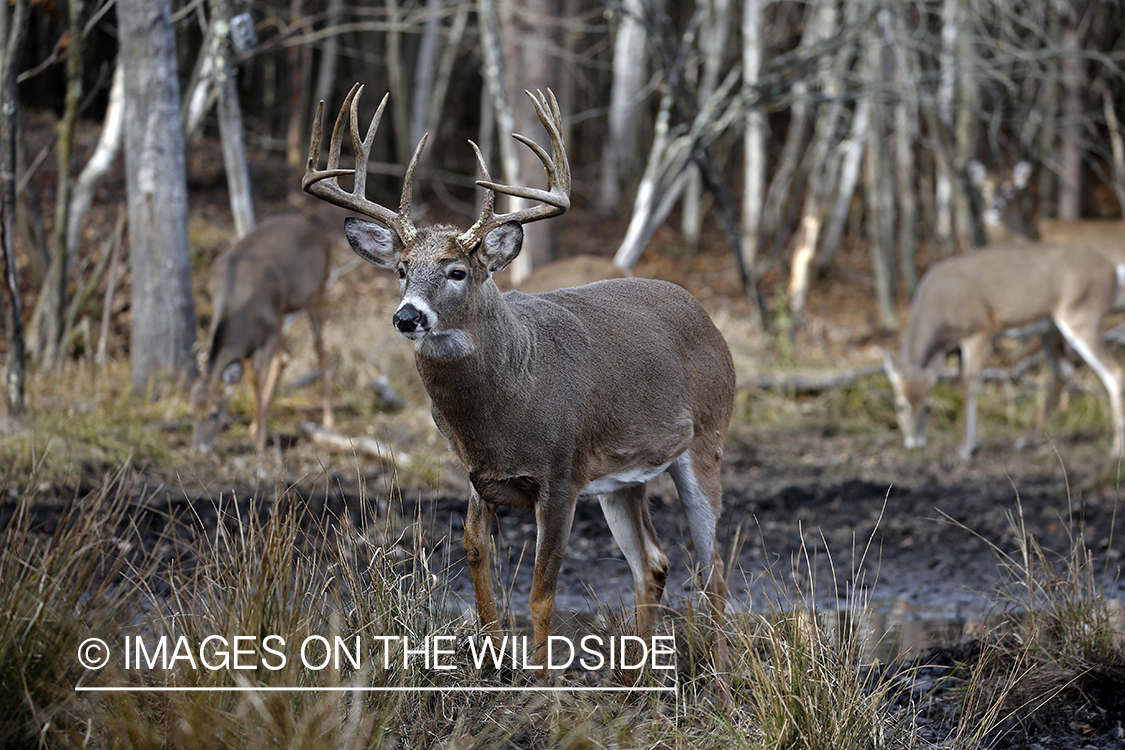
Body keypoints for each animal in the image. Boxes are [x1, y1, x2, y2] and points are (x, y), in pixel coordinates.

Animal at [190, 213, 333, 454]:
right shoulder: (248, 343)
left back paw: (329, 420)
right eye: (192, 412)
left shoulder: (270, 328)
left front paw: (259, 440)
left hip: (317, 293)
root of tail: (315, 227)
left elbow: (261, 377)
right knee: (286, 355)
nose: (199, 449)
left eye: (214, 413)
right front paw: (255, 428)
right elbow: (253, 379)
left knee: (320, 350)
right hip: (285, 314)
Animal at [301, 83, 738, 679]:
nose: (408, 316)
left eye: (457, 271)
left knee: (713, 568)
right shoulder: (478, 476)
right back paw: (634, 679)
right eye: (401, 271)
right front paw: (495, 668)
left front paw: (540, 683)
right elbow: (479, 571)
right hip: (623, 478)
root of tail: (709, 319)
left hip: (707, 440)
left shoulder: (561, 474)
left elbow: (541, 594)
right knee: (655, 561)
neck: (508, 405)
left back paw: (720, 677)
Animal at [886, 244, 1125, 461]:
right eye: (899, 406)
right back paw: (1025, 441)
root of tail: (1113, 272)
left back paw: (1116, 449)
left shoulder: (978, 330)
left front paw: (967, 448)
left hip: (1082, 315)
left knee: (1113, 372)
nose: (914, 444)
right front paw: (970, 443)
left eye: (928, 407)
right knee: (1064, 371)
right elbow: (961, 383)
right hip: (1050, 329)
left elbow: (969, 383)